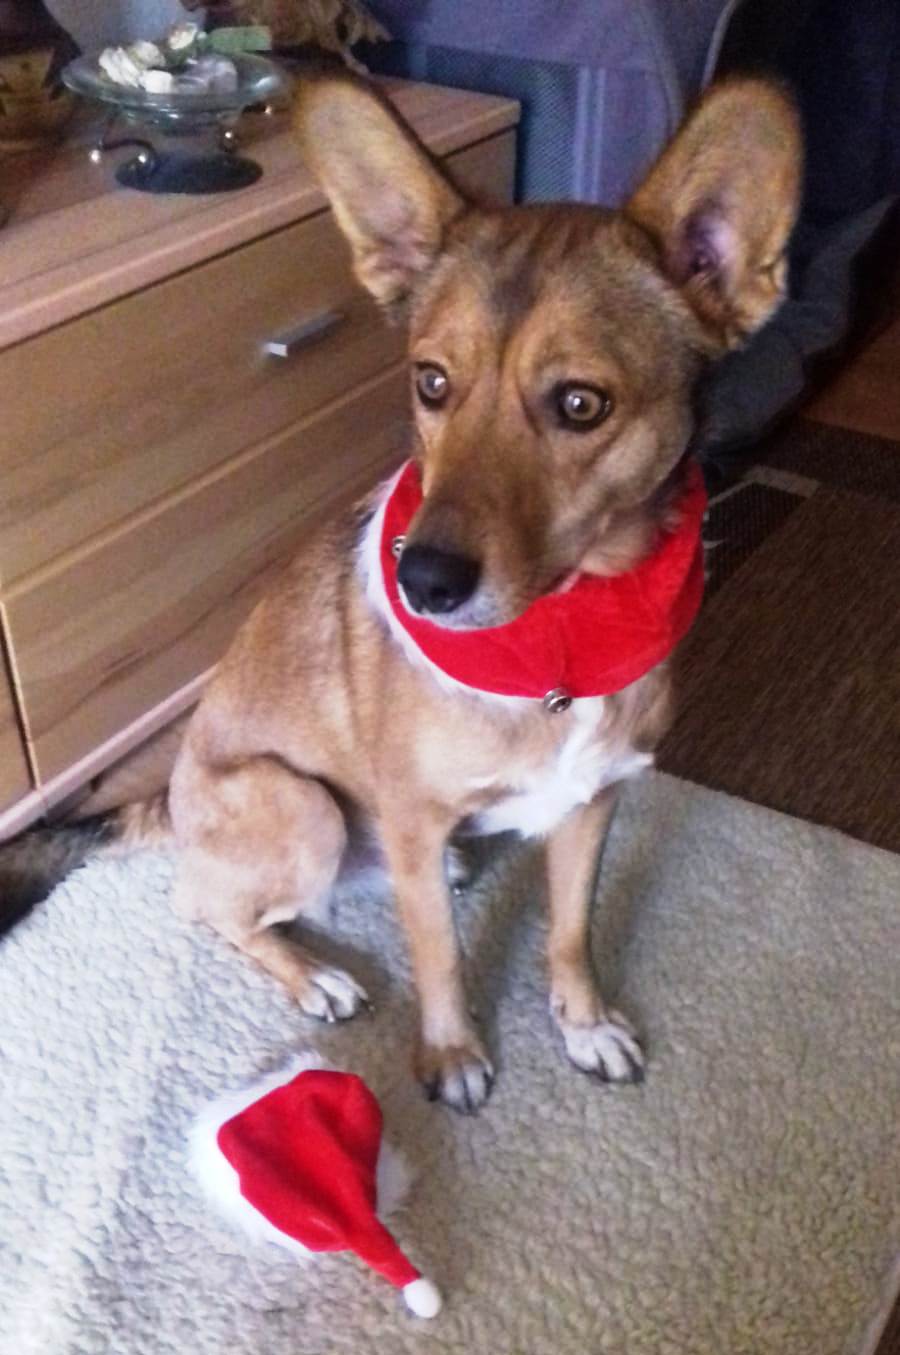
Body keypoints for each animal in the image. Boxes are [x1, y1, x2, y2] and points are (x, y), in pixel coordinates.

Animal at [0, 73, 800, 1113]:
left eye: (581, 404)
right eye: (431, 383)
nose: (422, 581)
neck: (561, 634)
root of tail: (164, 803)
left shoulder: (593, 802)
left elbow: (571, 928)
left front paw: (582, 1023)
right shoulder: (415, 819)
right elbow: (442, 957)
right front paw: (452, 1052)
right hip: (302, 804)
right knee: (210, 907)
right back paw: (316, 973)